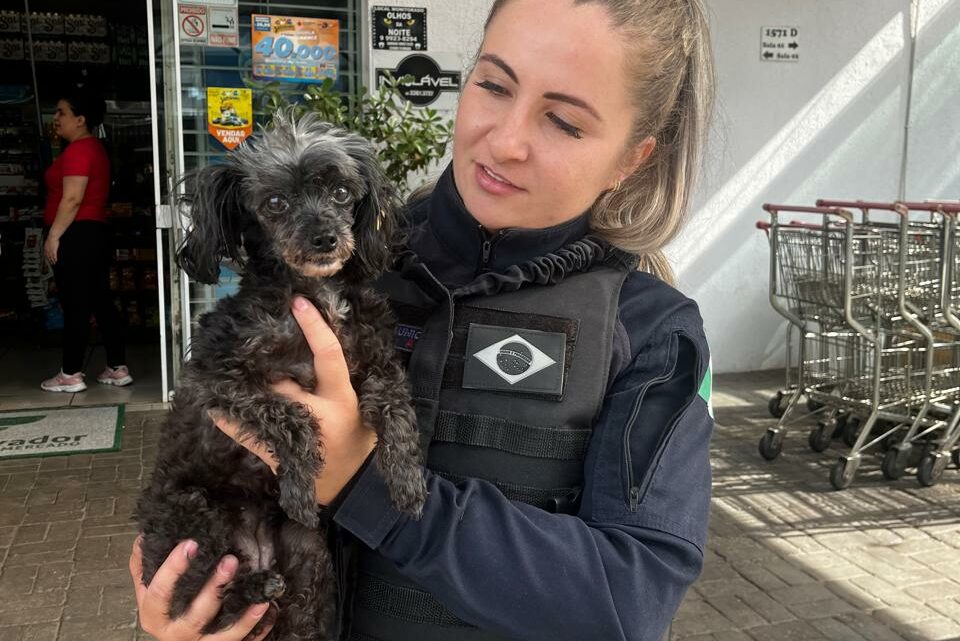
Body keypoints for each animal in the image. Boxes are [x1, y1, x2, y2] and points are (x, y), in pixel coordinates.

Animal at [134, 112, 424, 636]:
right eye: (275, 203)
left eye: (342, 193)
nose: (325, 238)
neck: (315, 296)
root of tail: (255, 552)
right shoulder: (216, 381)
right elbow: (293, 418)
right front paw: (301, 486)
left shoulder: (375, 362)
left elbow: (398, 410)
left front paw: (408, 482)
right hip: (190, 521)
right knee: (200, 603)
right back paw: (250, 586)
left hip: (307, 553)